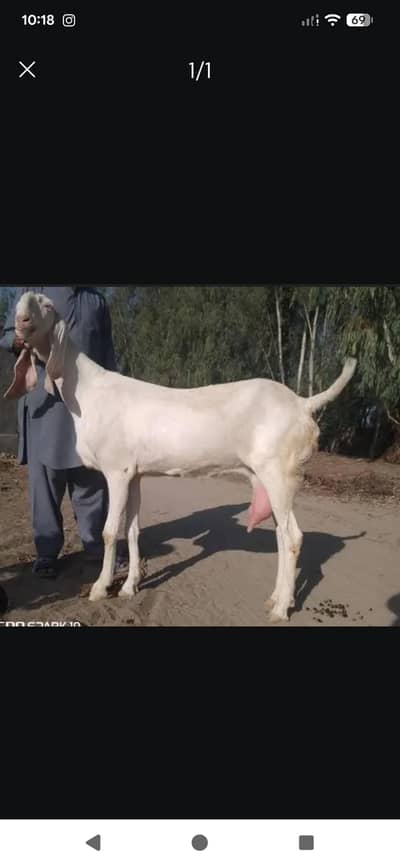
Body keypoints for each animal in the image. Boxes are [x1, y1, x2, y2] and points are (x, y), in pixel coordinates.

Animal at [4, 291, 357, 621]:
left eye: (47, 305)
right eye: (20, 304)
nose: (20, 322)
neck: (87, 391)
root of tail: (303, 404)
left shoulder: (116, 471)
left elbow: (108, 531)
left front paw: (100, 588)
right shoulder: (134, 473)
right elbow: (132, 530)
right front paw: (130, 587)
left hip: (278, 473)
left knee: (293, 536)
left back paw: (281, 608)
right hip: (268, 478)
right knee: (282, 536)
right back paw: (276, 599)